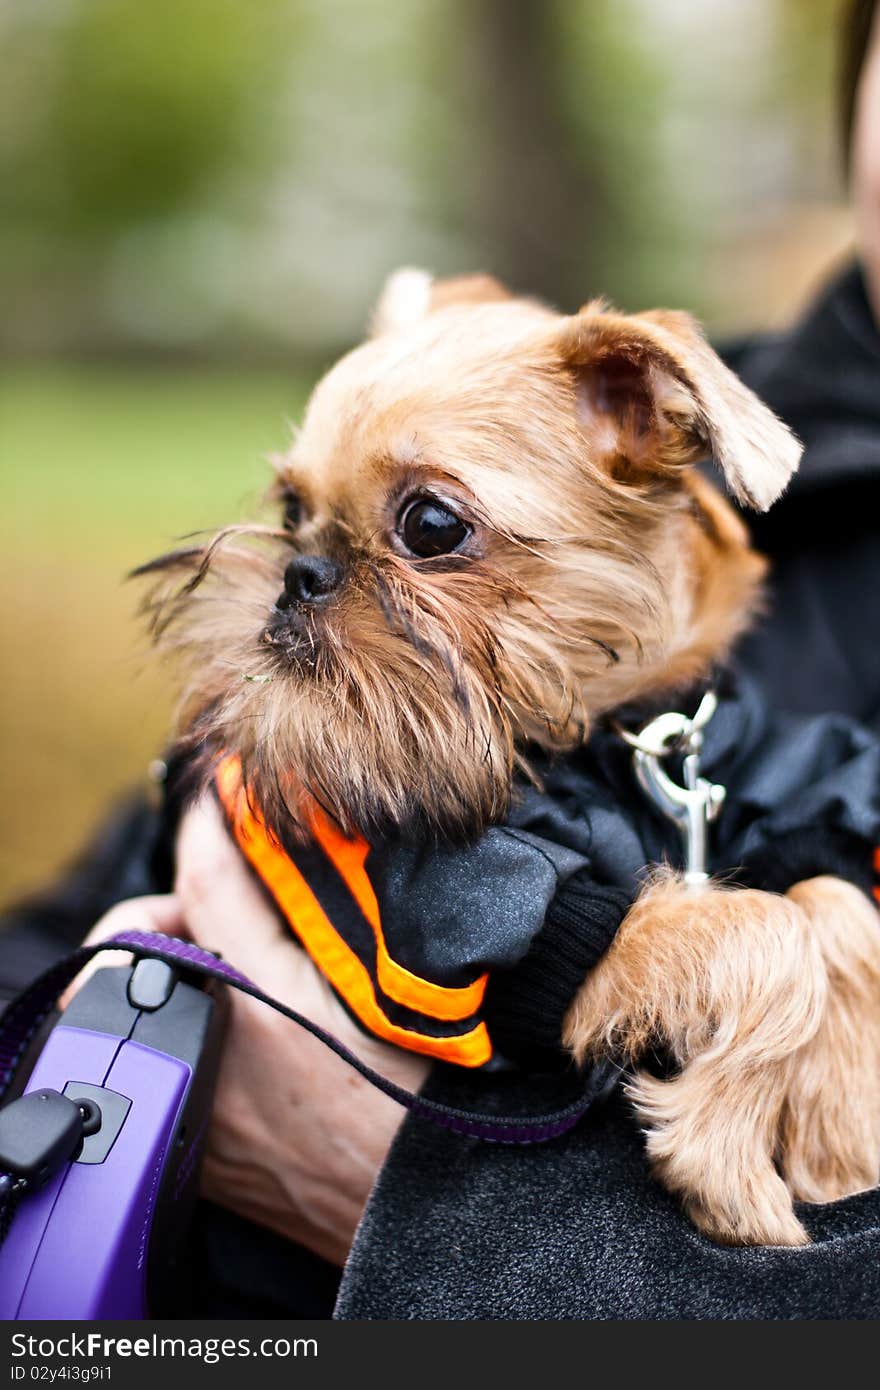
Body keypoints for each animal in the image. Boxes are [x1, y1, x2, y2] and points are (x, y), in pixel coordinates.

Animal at [135, 271, 878, 1251]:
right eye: (293, 510)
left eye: (431, 524)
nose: (301, 571)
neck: (608, 735)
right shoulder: (446, 928)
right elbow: (765, 930)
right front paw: (727, 1163)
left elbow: (832, 902)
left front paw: (841, 1145)